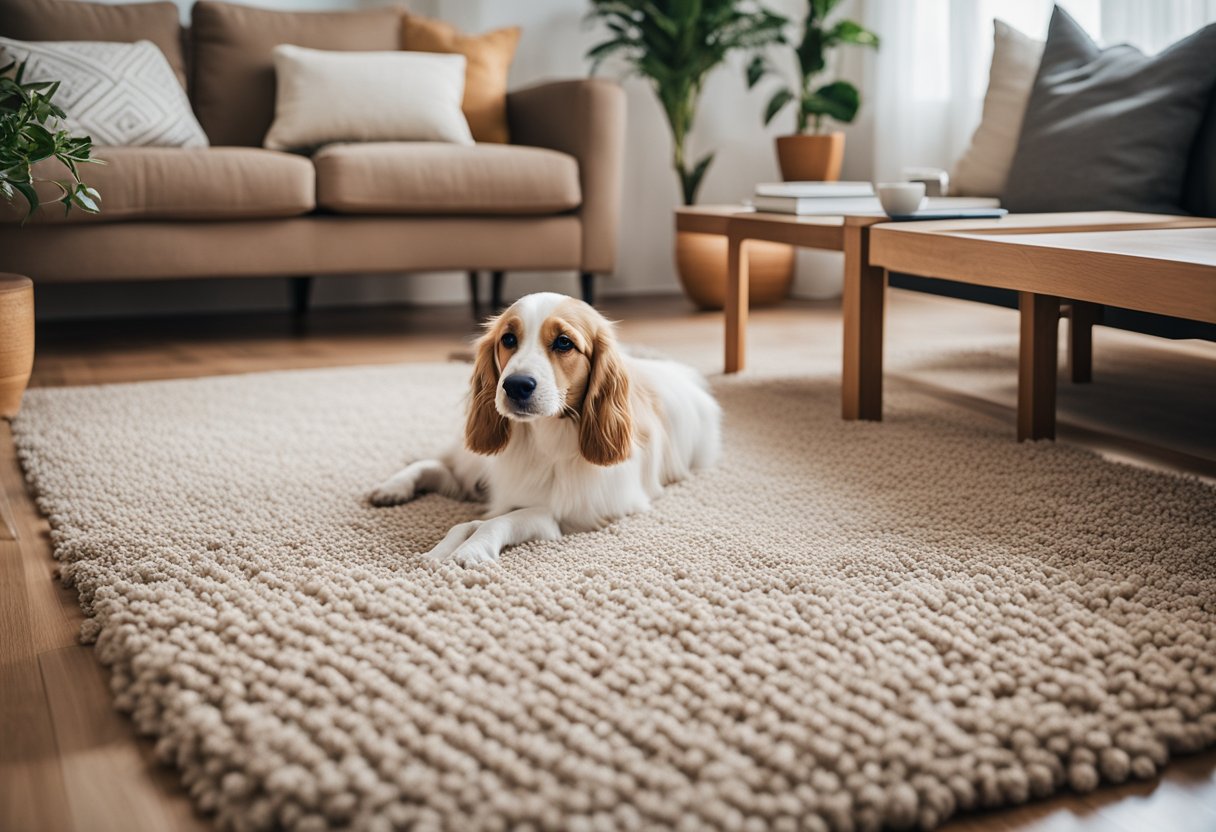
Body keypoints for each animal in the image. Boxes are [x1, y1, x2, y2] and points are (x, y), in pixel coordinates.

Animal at [364, 290, 715, 564]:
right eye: (508, 339)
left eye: (564, 343)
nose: (515, 385)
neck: (543, 437)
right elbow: (458, 513)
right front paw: (438, 544)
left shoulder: (573, 517)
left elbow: (494, 521)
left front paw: (470, 549)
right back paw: (394, 486)